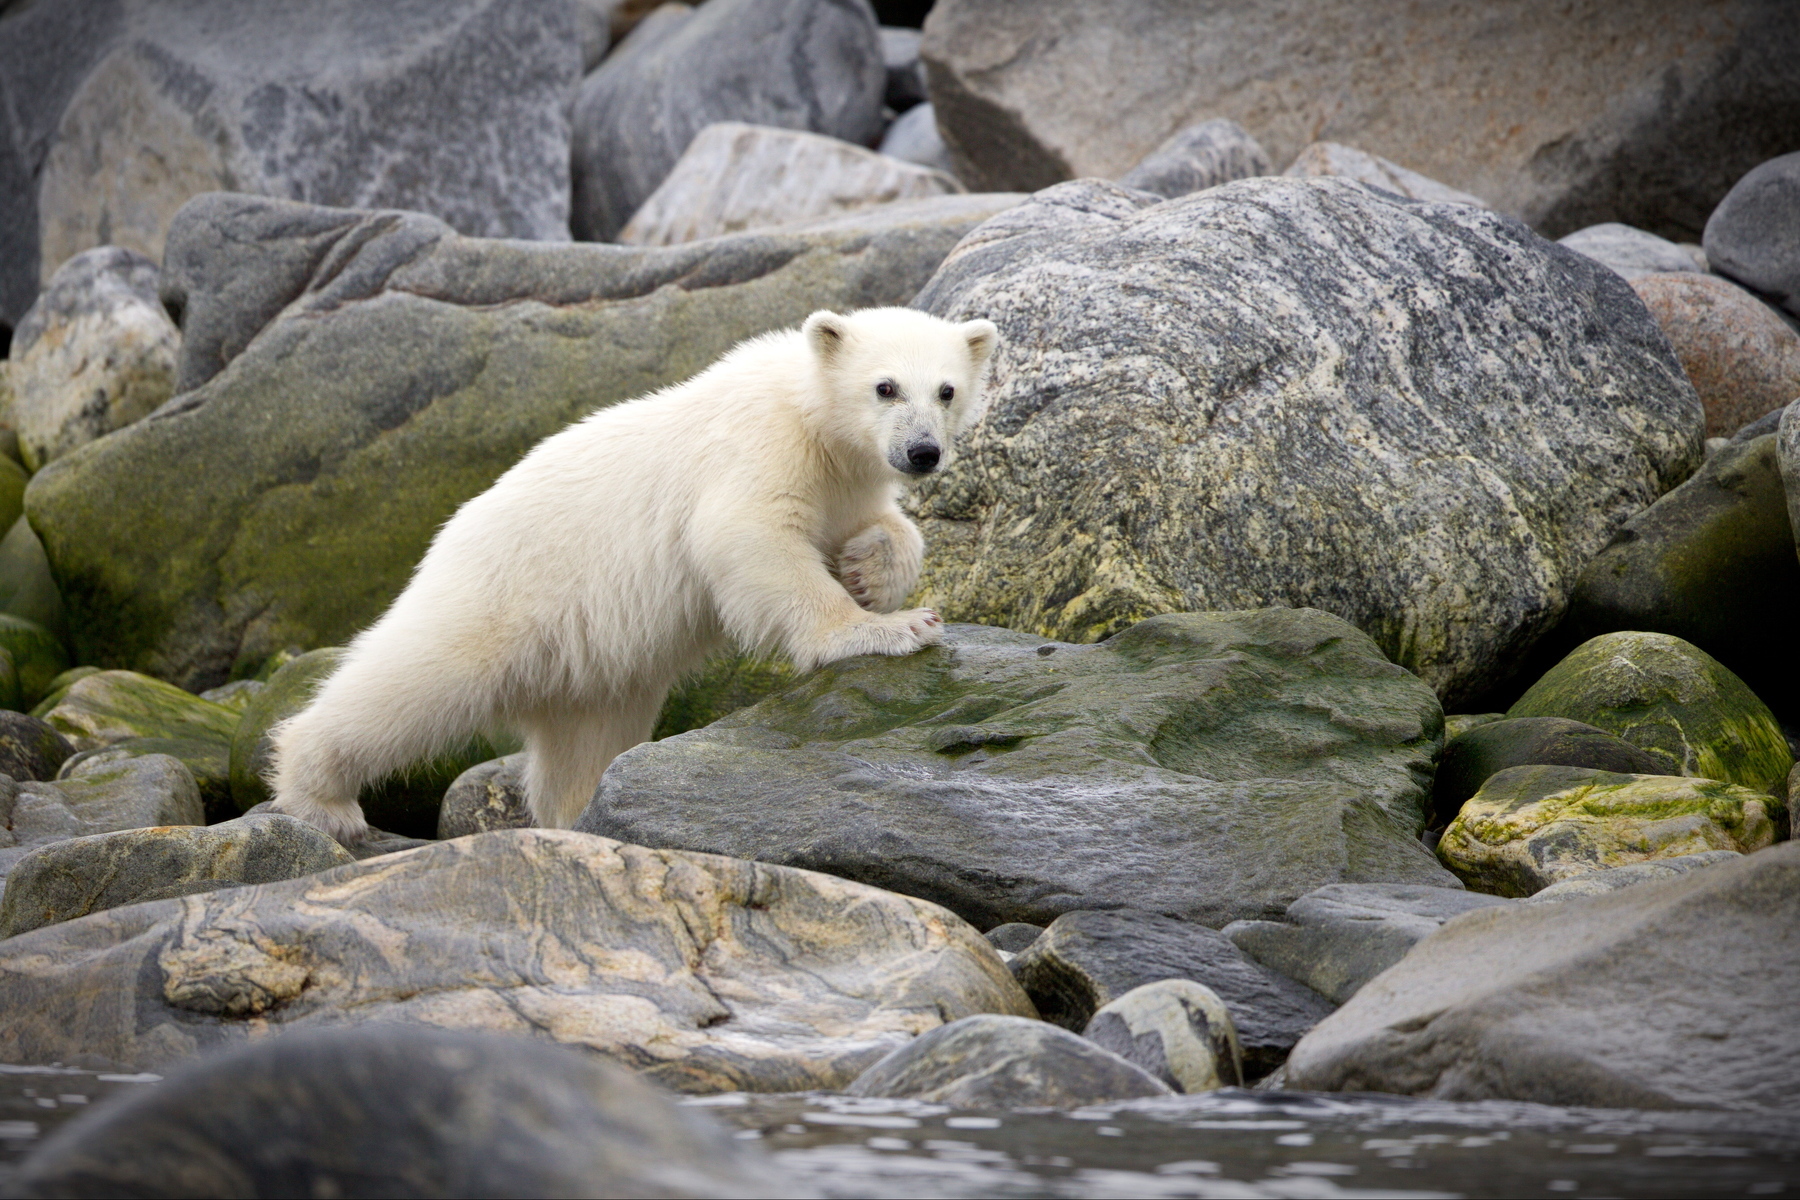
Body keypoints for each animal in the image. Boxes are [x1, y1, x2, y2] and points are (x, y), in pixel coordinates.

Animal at [268, 307, 1000, 845]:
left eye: (947, 390)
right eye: (885, 386)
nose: (923, 451)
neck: (810, 417)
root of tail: (448, 537)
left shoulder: (846, 478)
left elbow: (883, 525)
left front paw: (872, 573)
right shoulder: (758, 450)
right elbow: (749, 539)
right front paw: (890, 628)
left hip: (594, 668)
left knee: (587, 743)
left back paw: (582, 816)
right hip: (502, 594)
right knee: (410, 682)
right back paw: (320, 794)